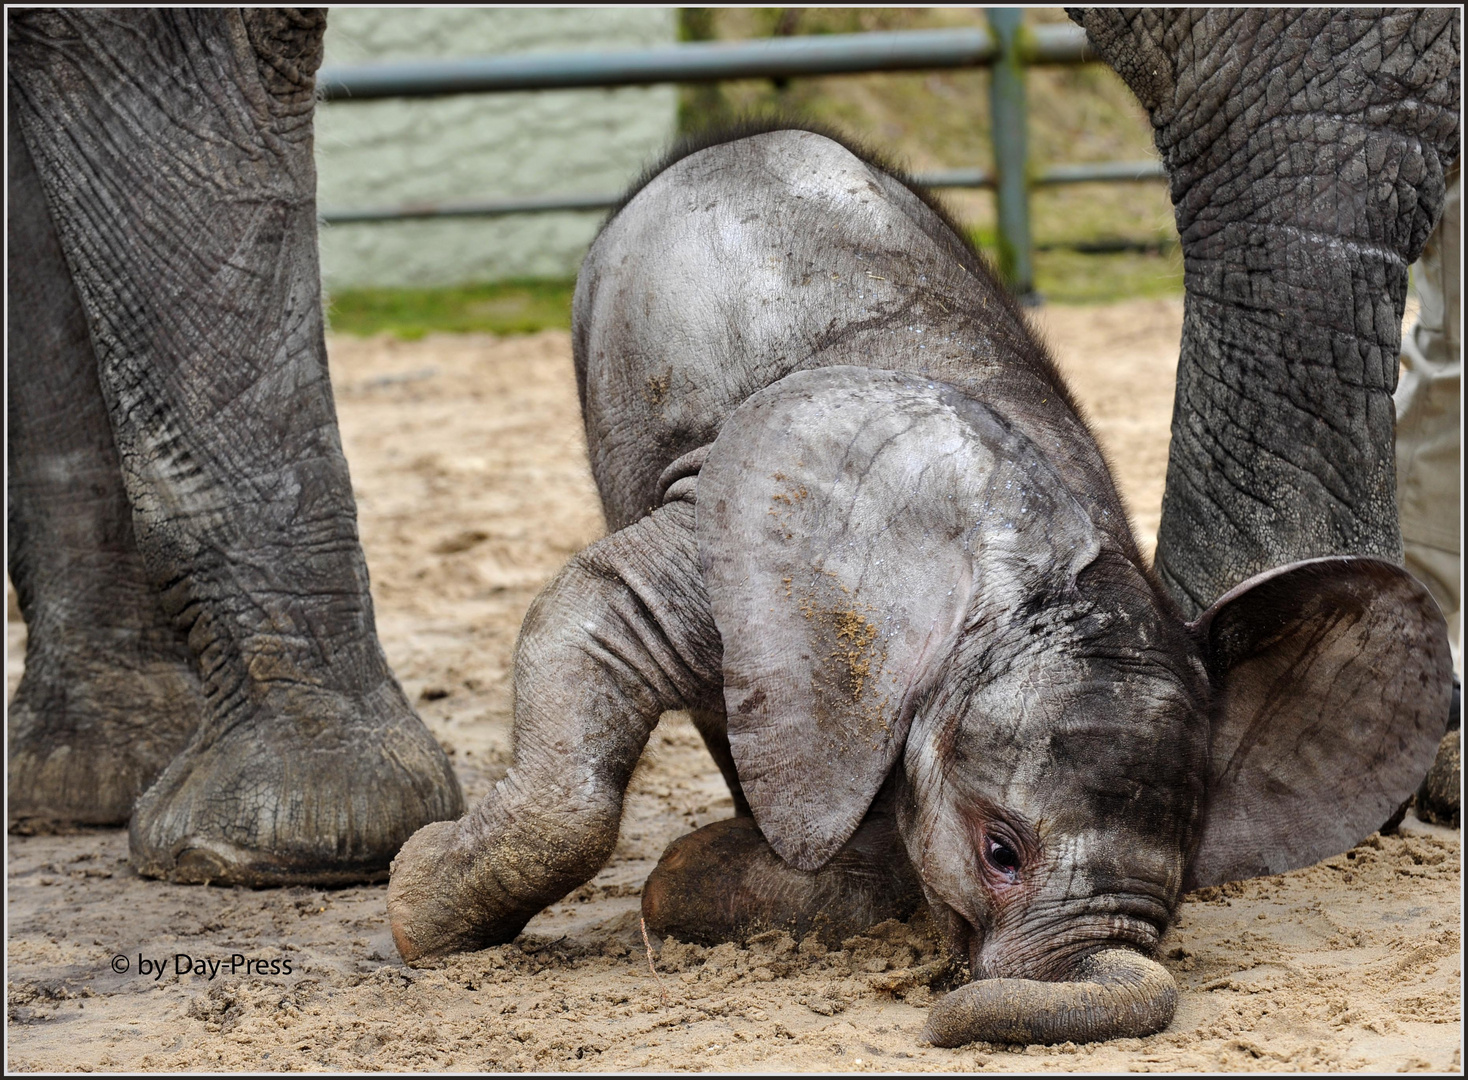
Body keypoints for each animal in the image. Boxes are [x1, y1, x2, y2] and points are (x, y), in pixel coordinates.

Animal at [384, 126, 1450, 1044]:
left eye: (1191, 867)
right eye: (1000, 853)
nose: (940, 1017)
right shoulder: (729, 529)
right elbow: (606, 609)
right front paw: (414, 900)